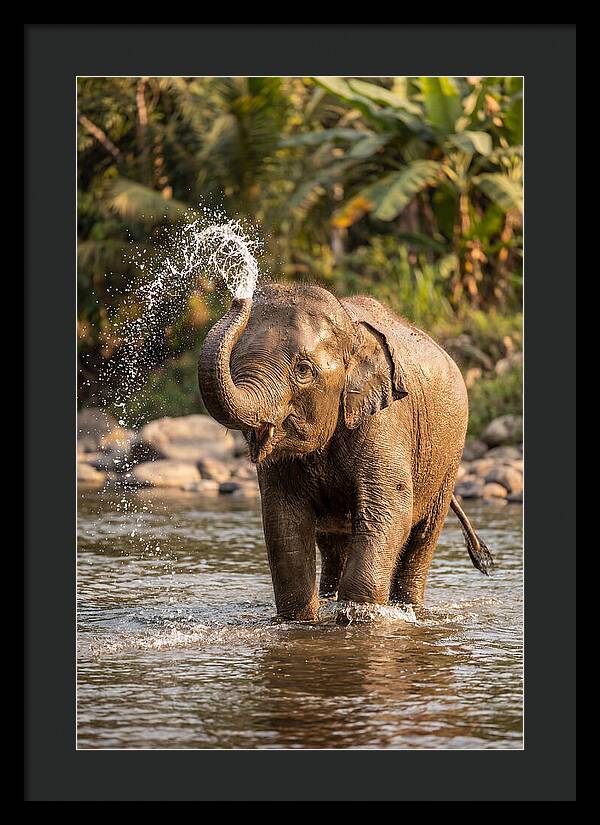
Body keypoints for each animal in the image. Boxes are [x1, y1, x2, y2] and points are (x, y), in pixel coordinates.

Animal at [198, 282, 493, 622]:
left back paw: (409, 608)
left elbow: (390, 508)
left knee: (423, 536)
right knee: (332, 542)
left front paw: (359, 617)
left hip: (449, 458)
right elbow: (283, 519)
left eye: (303, 370)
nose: (240, 296)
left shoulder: (385, 420)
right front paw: (302, 620)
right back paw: (330, 598)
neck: (352, 332)